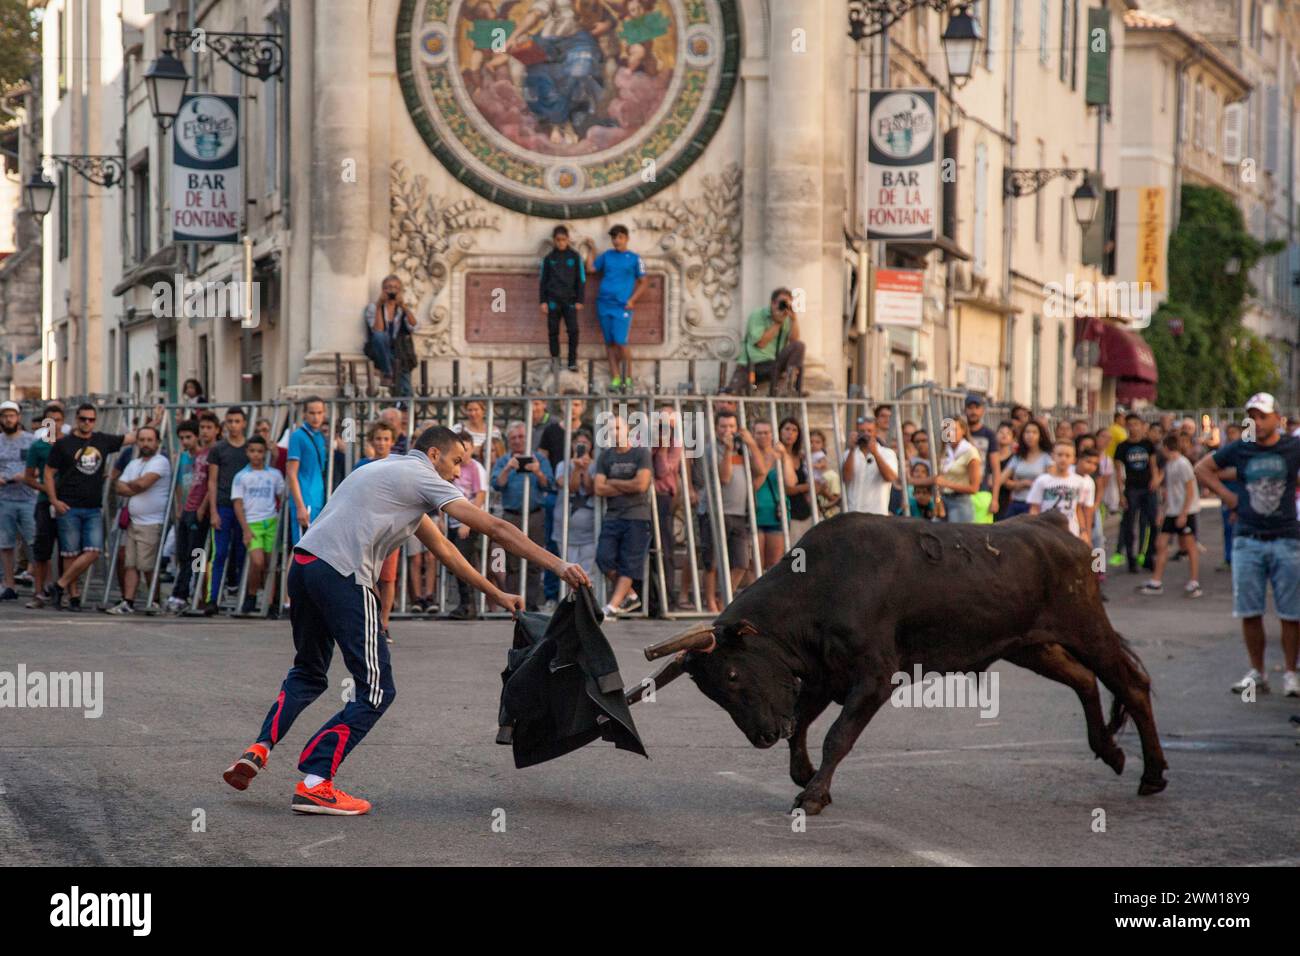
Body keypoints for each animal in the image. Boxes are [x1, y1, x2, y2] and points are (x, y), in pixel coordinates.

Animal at [644, 512, 1175, 816]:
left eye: (732, 674)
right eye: (711, 691)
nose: (760, 737)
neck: (819, 587)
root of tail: (1059, 532)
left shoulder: (876, 678)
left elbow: (837, 734)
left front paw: (813, 795)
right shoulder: (824, 676)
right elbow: (802, 728)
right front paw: (806, 776)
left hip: (1086, 627)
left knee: (1131, 682)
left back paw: (1151, 773)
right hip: (1030, 645)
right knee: (1084, 679)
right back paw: (1111, 752)